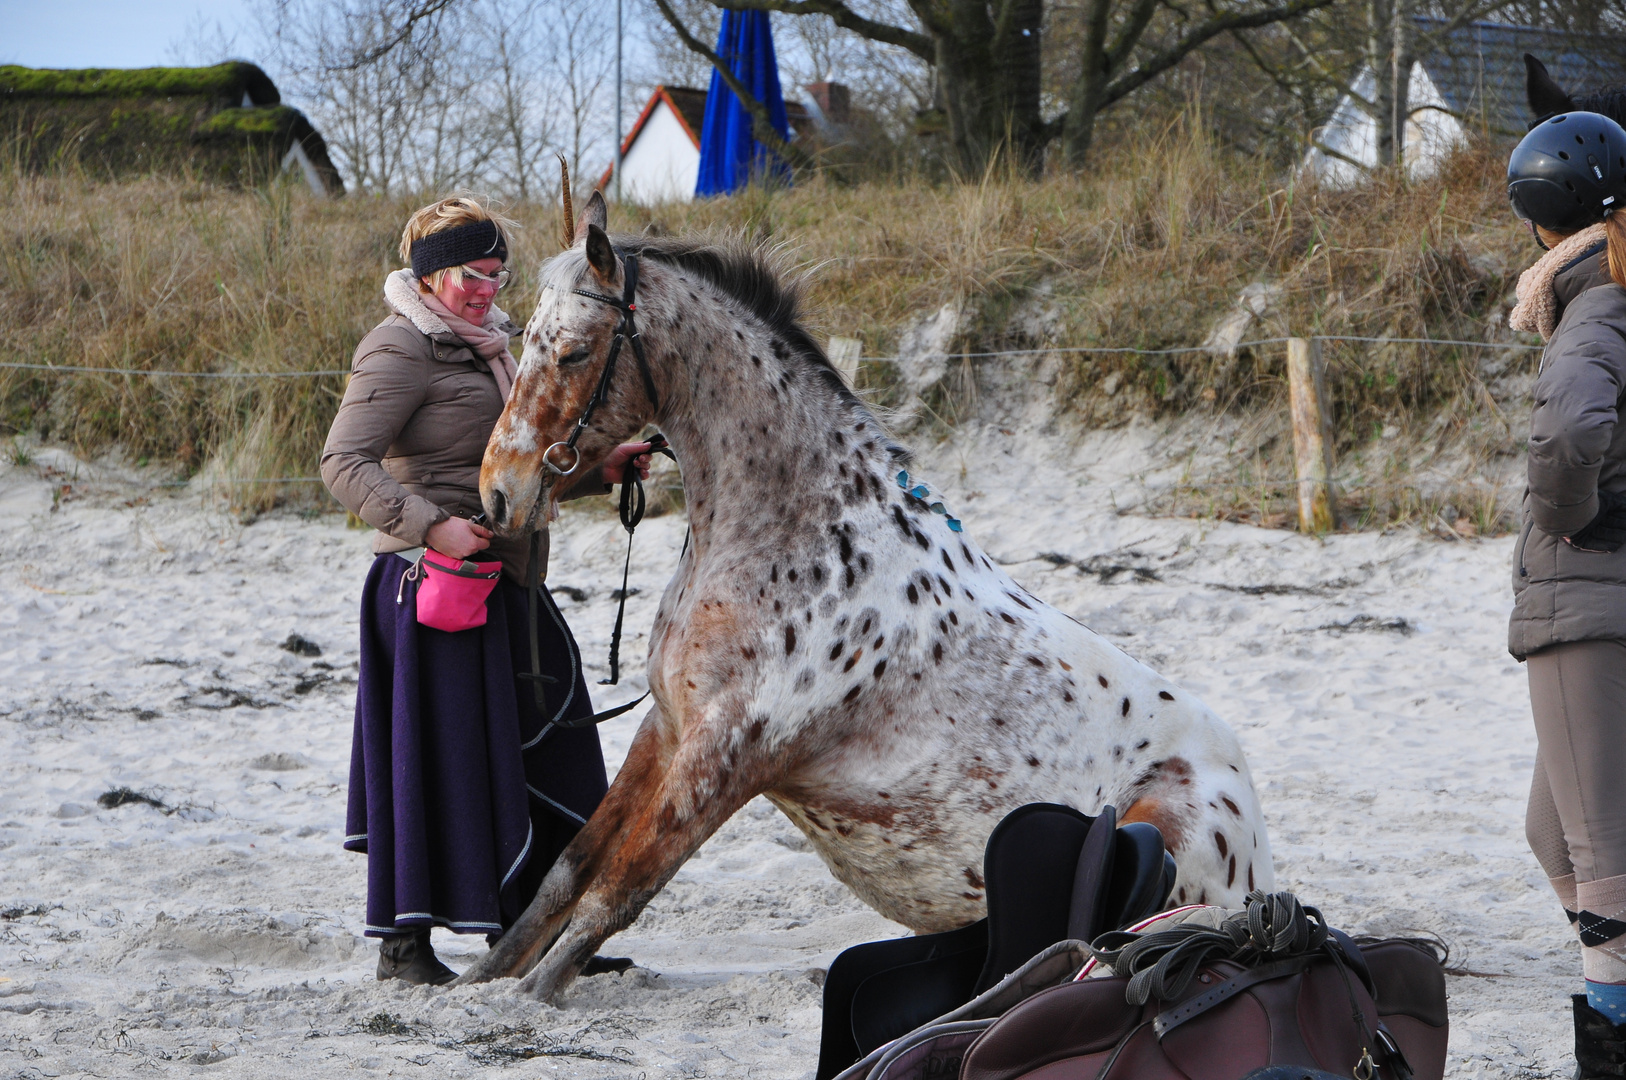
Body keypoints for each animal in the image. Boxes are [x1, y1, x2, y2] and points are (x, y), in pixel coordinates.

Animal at [465, 191, 1274, 995]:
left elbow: (618, 890)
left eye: (573, 352)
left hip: (1156, 837)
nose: (499, 494)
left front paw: (530, 994)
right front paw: (480, 981)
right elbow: (568, 871)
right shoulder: (666, 728)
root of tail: (1257, 871)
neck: (804, 537)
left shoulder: (727, 755)